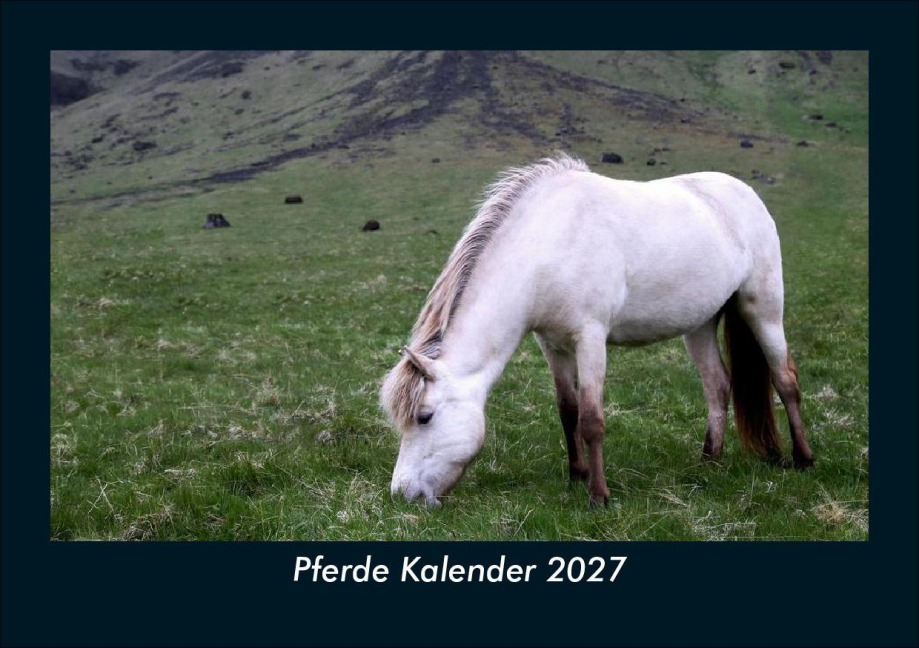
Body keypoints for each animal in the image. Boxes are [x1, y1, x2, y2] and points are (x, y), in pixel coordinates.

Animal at [381, 153, 813, 507]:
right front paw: (576, 477)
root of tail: (744, 192)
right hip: (700, 324)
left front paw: (598, 495)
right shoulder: (552, 344)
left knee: (785, 380)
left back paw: (803, 458)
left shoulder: (590, 338)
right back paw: (709, 461)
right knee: (717, 385)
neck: (548, 246)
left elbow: (591, 420)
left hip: (763, 308)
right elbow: (567, 411)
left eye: (424, 417)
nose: (402, 493)